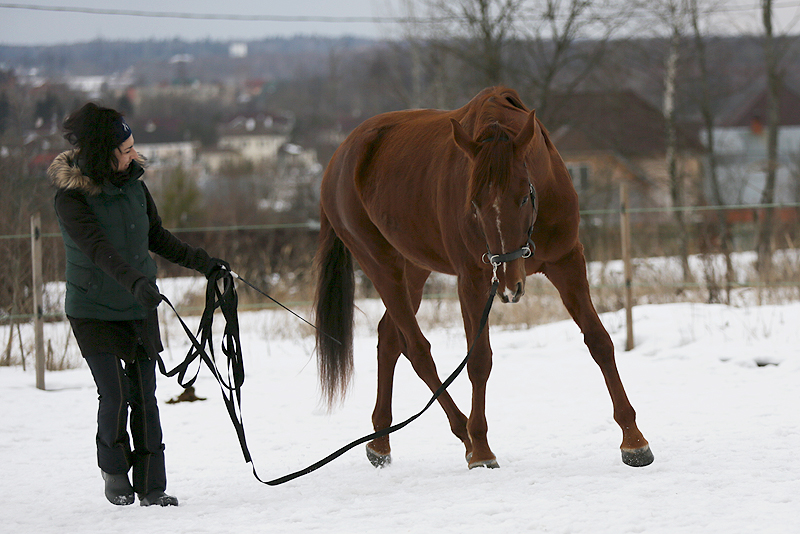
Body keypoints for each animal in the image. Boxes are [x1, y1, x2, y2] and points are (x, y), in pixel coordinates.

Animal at [310, 86, 652, 472]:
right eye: (473, 202)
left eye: (524, 196)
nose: (508, 283)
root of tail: (339, 159)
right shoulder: (472, 280)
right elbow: (479, 361)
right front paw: (483, 449)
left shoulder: (567, 263)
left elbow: (599, 341)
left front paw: (634, 440)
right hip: (381, 266)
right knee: (417, 349)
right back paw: (465, 437)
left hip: (414, 268)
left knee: (390, 339)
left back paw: (381, 442)